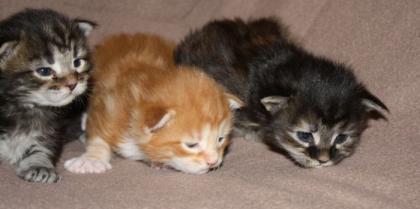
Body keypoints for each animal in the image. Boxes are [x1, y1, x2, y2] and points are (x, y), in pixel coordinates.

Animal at [0, 9, 94, 182]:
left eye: (77, 62)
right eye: (44, 71)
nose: (72, 84)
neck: (23, 107)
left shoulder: (53, 124)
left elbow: (44, 144)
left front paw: (39, 165)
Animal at [63, 34, 241, 175]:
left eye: (220, 139)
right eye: (191, 145)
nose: (213, 161)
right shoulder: (110, 106)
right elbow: (97, 135)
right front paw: (91, 159)